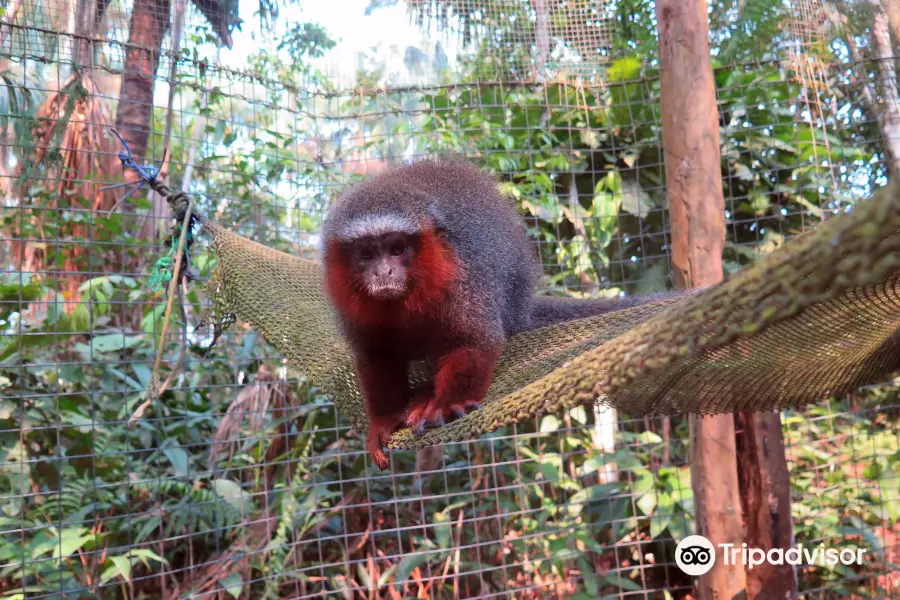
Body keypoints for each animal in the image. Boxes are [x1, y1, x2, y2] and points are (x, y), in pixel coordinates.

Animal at [324, 158, 688, 468]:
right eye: (367, 255)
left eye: (397, 249)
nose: (383, 272)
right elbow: (377, 356)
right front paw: (385, 421)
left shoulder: (460, 277)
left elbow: (475, 340)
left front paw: (447, 404)